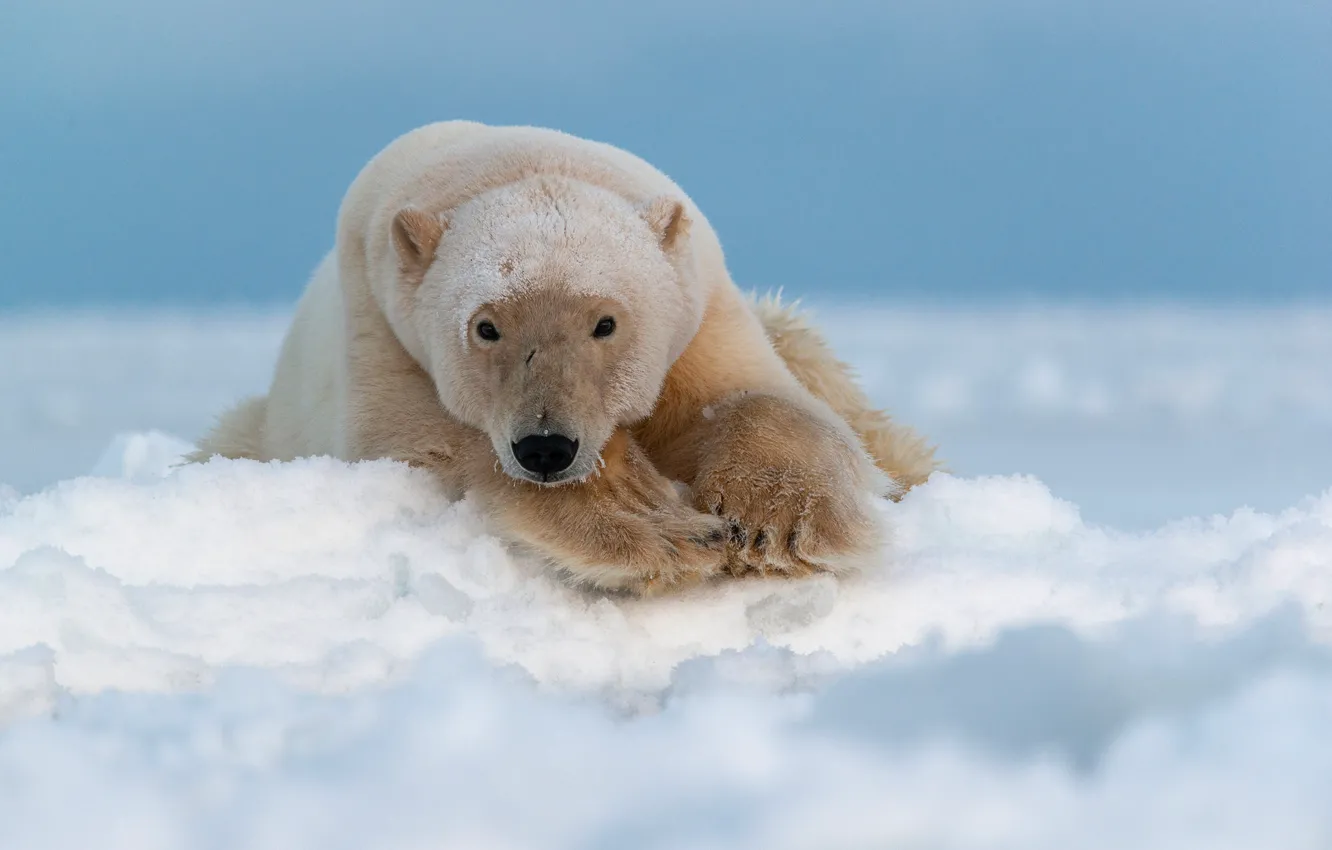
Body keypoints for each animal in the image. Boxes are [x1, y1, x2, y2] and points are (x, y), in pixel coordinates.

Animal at [186, 120, 938, 594]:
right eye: (486, 327)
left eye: (605, 322)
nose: (546, 446)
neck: (516, 163)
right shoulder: (384, 330)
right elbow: (434, 443)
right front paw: (663, 529)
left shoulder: (699, 311)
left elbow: (756, 397)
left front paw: (772, 525)